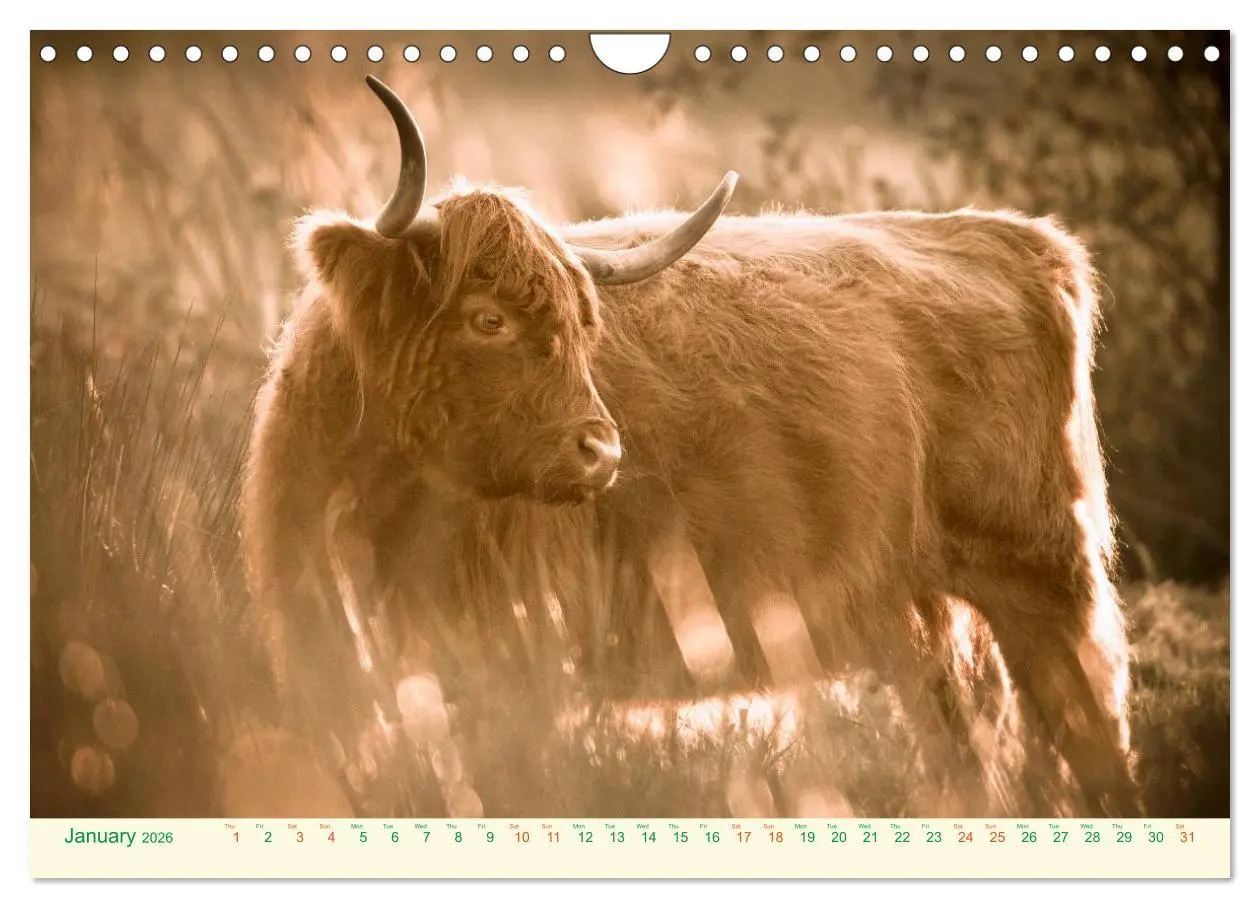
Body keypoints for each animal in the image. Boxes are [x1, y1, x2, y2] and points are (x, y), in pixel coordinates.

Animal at [241, 75, 1140, 817]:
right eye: (486, 318)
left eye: (584, 327)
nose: (601, 453)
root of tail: (1019, 238)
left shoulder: (521, 655)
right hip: (927, 610)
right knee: (967, 749)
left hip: (1044, 574)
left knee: (1090, 729)